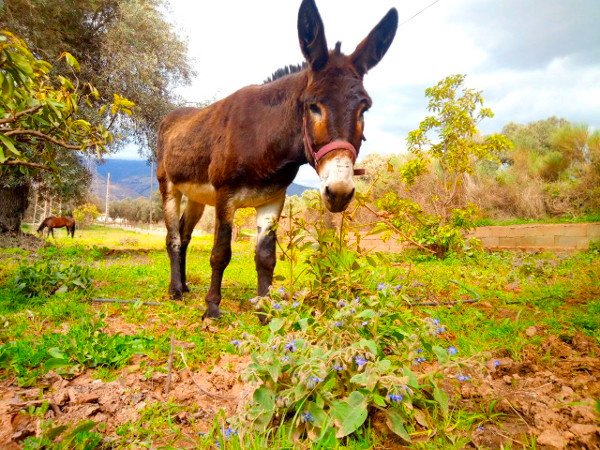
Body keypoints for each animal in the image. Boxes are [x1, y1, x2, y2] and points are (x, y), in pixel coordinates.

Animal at [157, 0, 396, 320]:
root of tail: (173, 115)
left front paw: (265, 311)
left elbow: (266, 258)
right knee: (173, 238)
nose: (339, 192)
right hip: (169, 186)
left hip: (197, 196)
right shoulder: (225, 197)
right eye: (313, 106)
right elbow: (220, 254)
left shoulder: (272, 200)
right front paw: (212, 309)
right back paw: (175, 291)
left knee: (184, 235)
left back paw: (183, 286)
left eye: (364, 109)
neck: (262, 137)